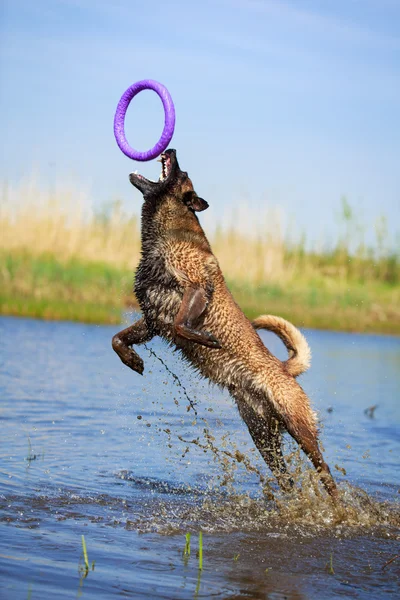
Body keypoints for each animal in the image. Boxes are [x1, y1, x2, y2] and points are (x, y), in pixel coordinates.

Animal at [112, 149, 338, 496]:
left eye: (182, 172)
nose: (171, 150)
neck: (164, 232)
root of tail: (284, 369)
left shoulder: (196, 286)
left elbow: (182, 325)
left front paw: (206, 339)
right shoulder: (152, 318)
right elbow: (119, 338)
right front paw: (133, 360)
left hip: (299, 427)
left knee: (325, 473)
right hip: (262, 435)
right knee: (286, 479)